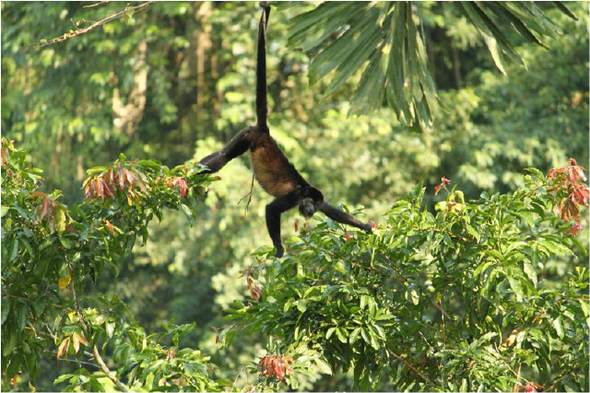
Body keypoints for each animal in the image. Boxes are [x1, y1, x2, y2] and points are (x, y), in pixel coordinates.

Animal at [201, 2, 372, 258]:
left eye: (317, 206)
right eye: (310, 203)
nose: (311, 210)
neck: (305, 191)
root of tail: (265, 130)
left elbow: (335, 211)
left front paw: (366, 225)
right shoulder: (293, 197)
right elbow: (271, 209)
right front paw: (279, 248)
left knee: (221, 154)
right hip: (248, 135)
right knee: (223, 157)